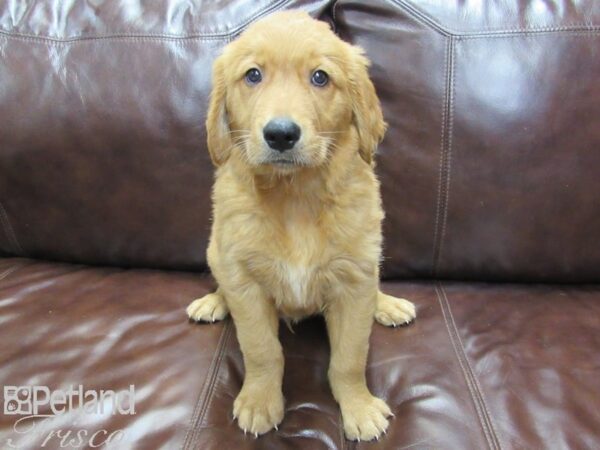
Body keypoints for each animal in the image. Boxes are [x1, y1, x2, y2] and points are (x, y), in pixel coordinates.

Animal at [185, 10, 414, 442]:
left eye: (320, 77)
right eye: (253, 75)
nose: (280, 134)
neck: (295, 197)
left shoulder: (354, 280)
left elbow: (349, 357)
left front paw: (358, 407)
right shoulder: (245, 280)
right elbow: (262, 350)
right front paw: (259, 402)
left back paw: (387, 304)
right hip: (214, 249)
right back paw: (214, 301)